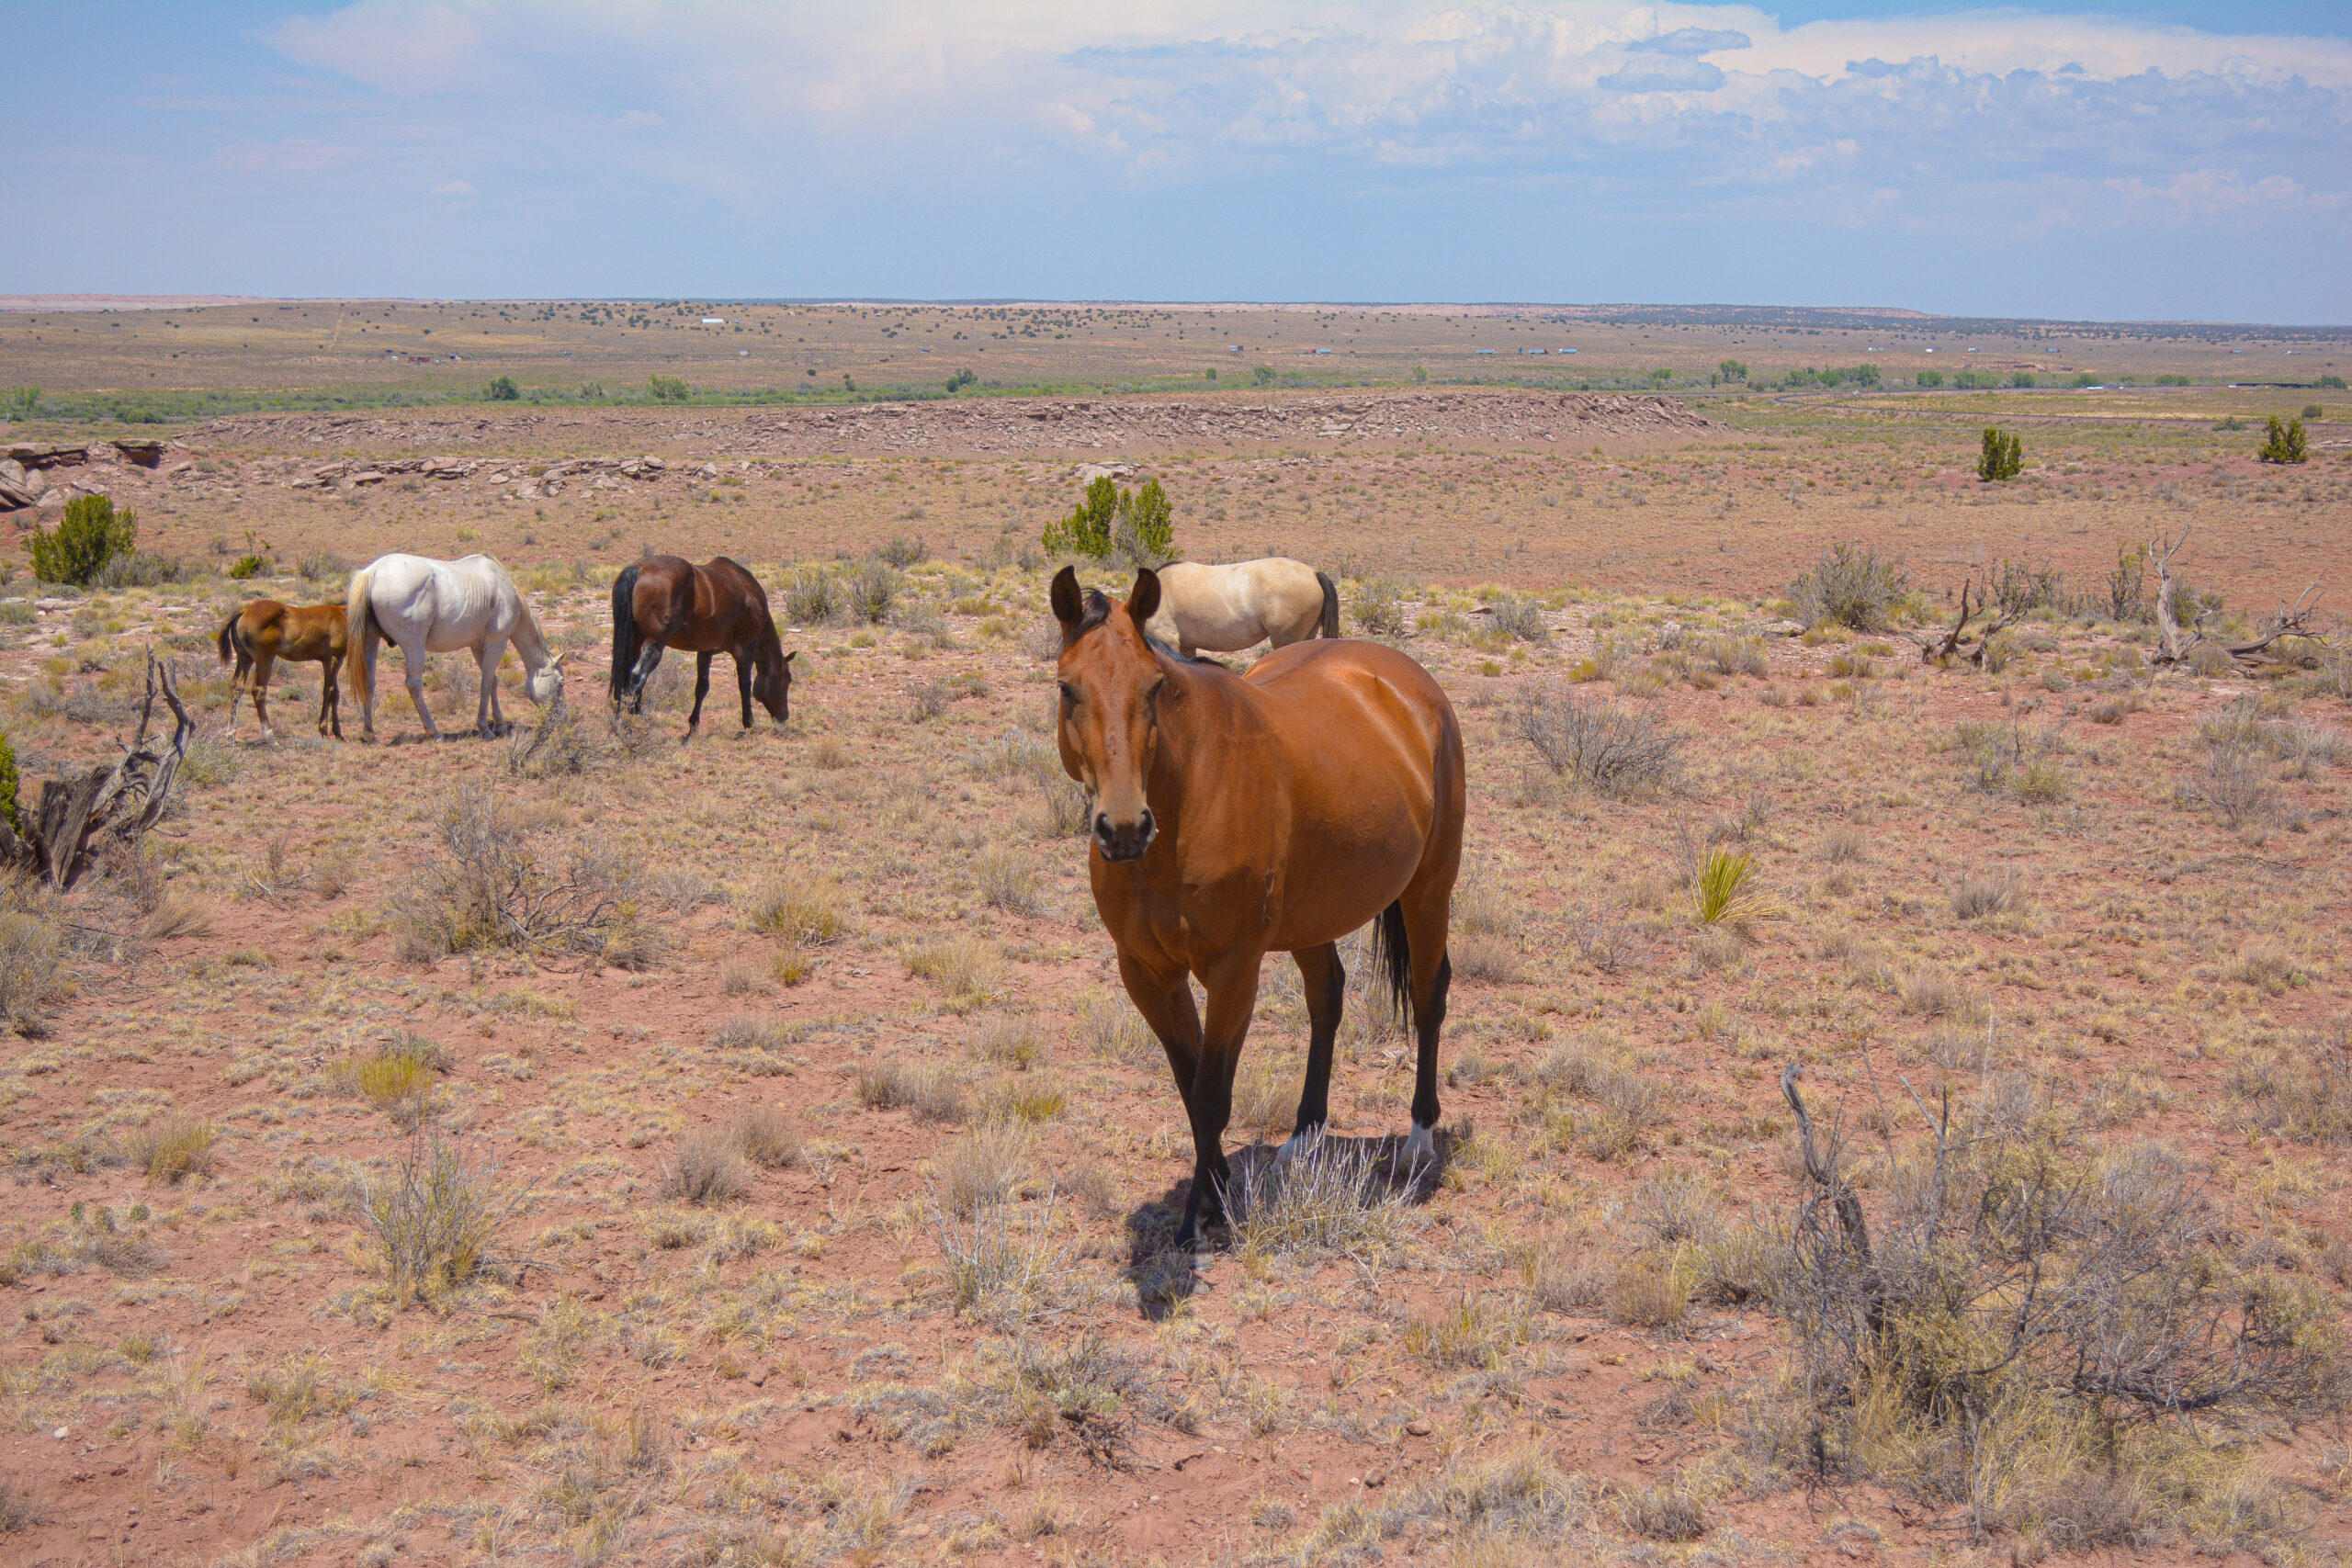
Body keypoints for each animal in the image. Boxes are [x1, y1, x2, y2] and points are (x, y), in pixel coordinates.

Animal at [216, 600, 347, 740]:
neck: (343, 613)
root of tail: (245, 610)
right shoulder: (334, 659)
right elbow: (331, 691)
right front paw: (329, 731)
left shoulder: (327, 661)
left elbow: (333, 691)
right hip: (265, 659)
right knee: (258, 690)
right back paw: (271, 737)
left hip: (245, 658)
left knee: (236, 687)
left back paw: (230, 733)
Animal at [343, 553, 566, 741]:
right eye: (561, 683)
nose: (561, 718)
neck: (504, 590)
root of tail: (373, 572)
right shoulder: (498, 642)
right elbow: (486, 682)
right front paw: (485, 728)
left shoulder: (478, 646)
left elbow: (493, 681)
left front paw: (500, 725)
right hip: (414, 647)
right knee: (413, 684)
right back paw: (434, 732)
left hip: (371, 641)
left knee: (369, 683)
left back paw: (369, 733)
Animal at [608, 555, 795, 739]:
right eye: (788, 679)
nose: (784, 717)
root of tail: (637, 568)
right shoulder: (745, 652)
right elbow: (745, 686)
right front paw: (749, 723)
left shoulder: (705, 651)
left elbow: (702, 688)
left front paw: (693, 727)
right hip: (655, 643)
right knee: (637, 677)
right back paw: (631, 724)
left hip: (635, 641)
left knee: (625, 677)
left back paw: (621, 721)